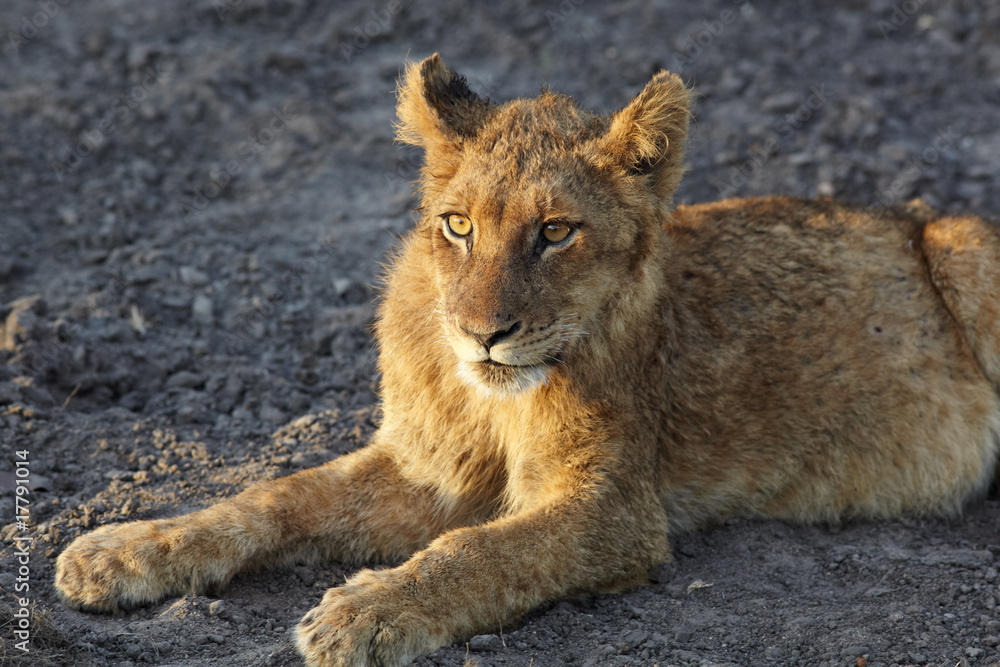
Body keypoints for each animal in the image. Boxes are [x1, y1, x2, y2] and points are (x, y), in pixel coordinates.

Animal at [55, 54, 1000, 666]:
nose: (485, 334)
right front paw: (120, 551)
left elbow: (481, 550)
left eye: (555, 231)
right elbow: (274, 496)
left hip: (966, 249)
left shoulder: (615, 510)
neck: (491, 400)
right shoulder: (425, 468)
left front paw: (365, 608)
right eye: (458, 224)